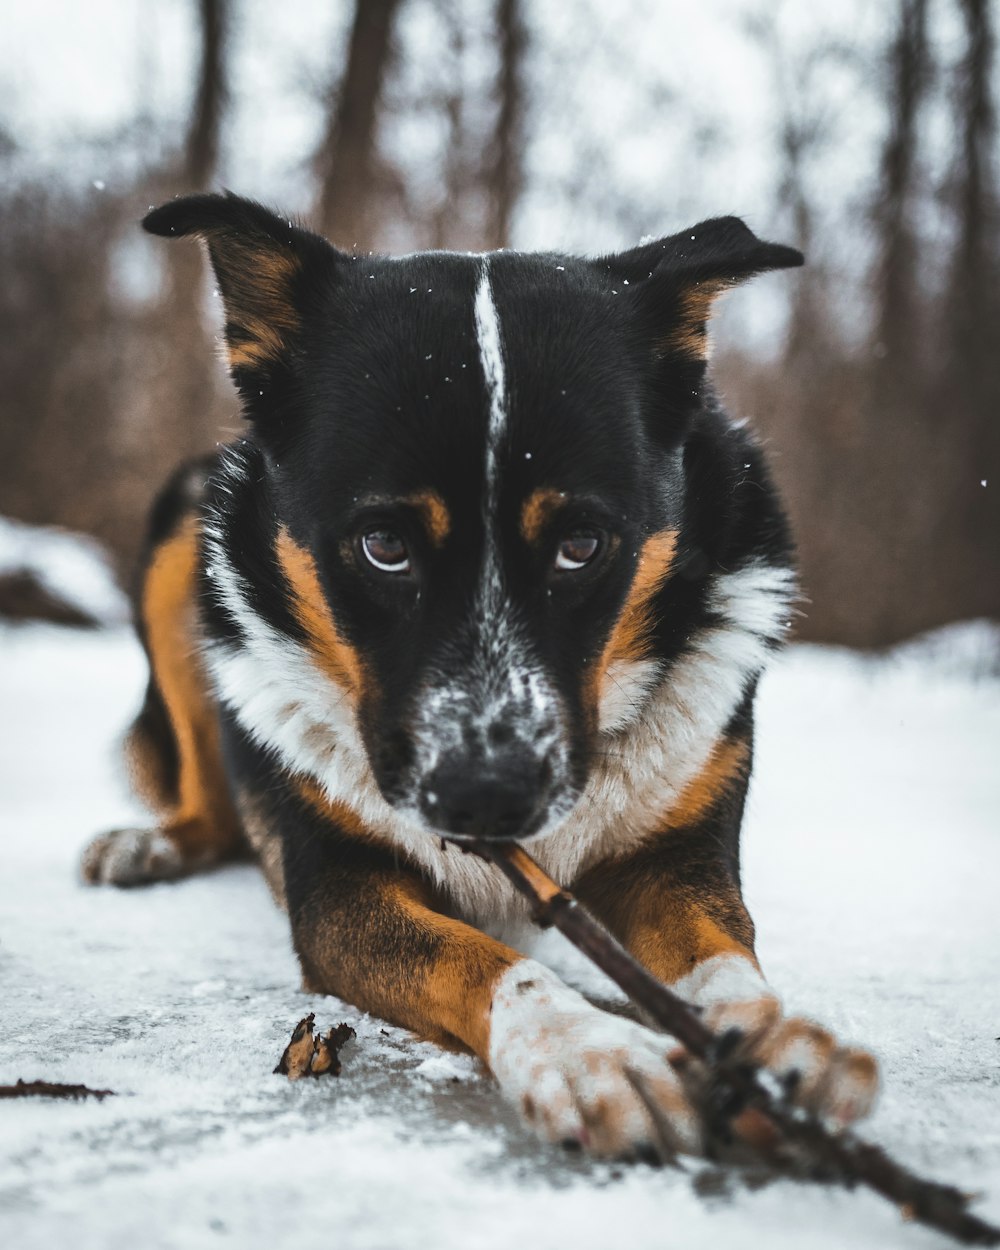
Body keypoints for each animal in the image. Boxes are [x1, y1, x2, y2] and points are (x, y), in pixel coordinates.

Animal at [81, 190, 880, 1155]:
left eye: (583, 545)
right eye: (383, 545)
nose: (487, 797)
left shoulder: (676, 855)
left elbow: (724, 951)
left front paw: (777, 1040)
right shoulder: (337, 892)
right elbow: (472, 957)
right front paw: (586, 1049)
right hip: (180, 532)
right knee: (209, 795)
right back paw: (153, 843)